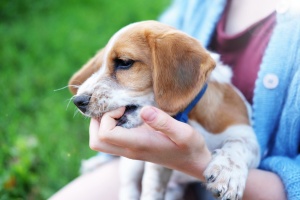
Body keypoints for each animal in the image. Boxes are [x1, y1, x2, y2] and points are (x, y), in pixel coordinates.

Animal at [68, 20, 260, 200]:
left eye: (124, 63)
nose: (78, 101)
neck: (188, 119)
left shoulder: (246, 134)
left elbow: (238, 145)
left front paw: (228, 174)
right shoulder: (156, 167)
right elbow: (151, 190)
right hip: (132, 166)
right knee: (128, 187)